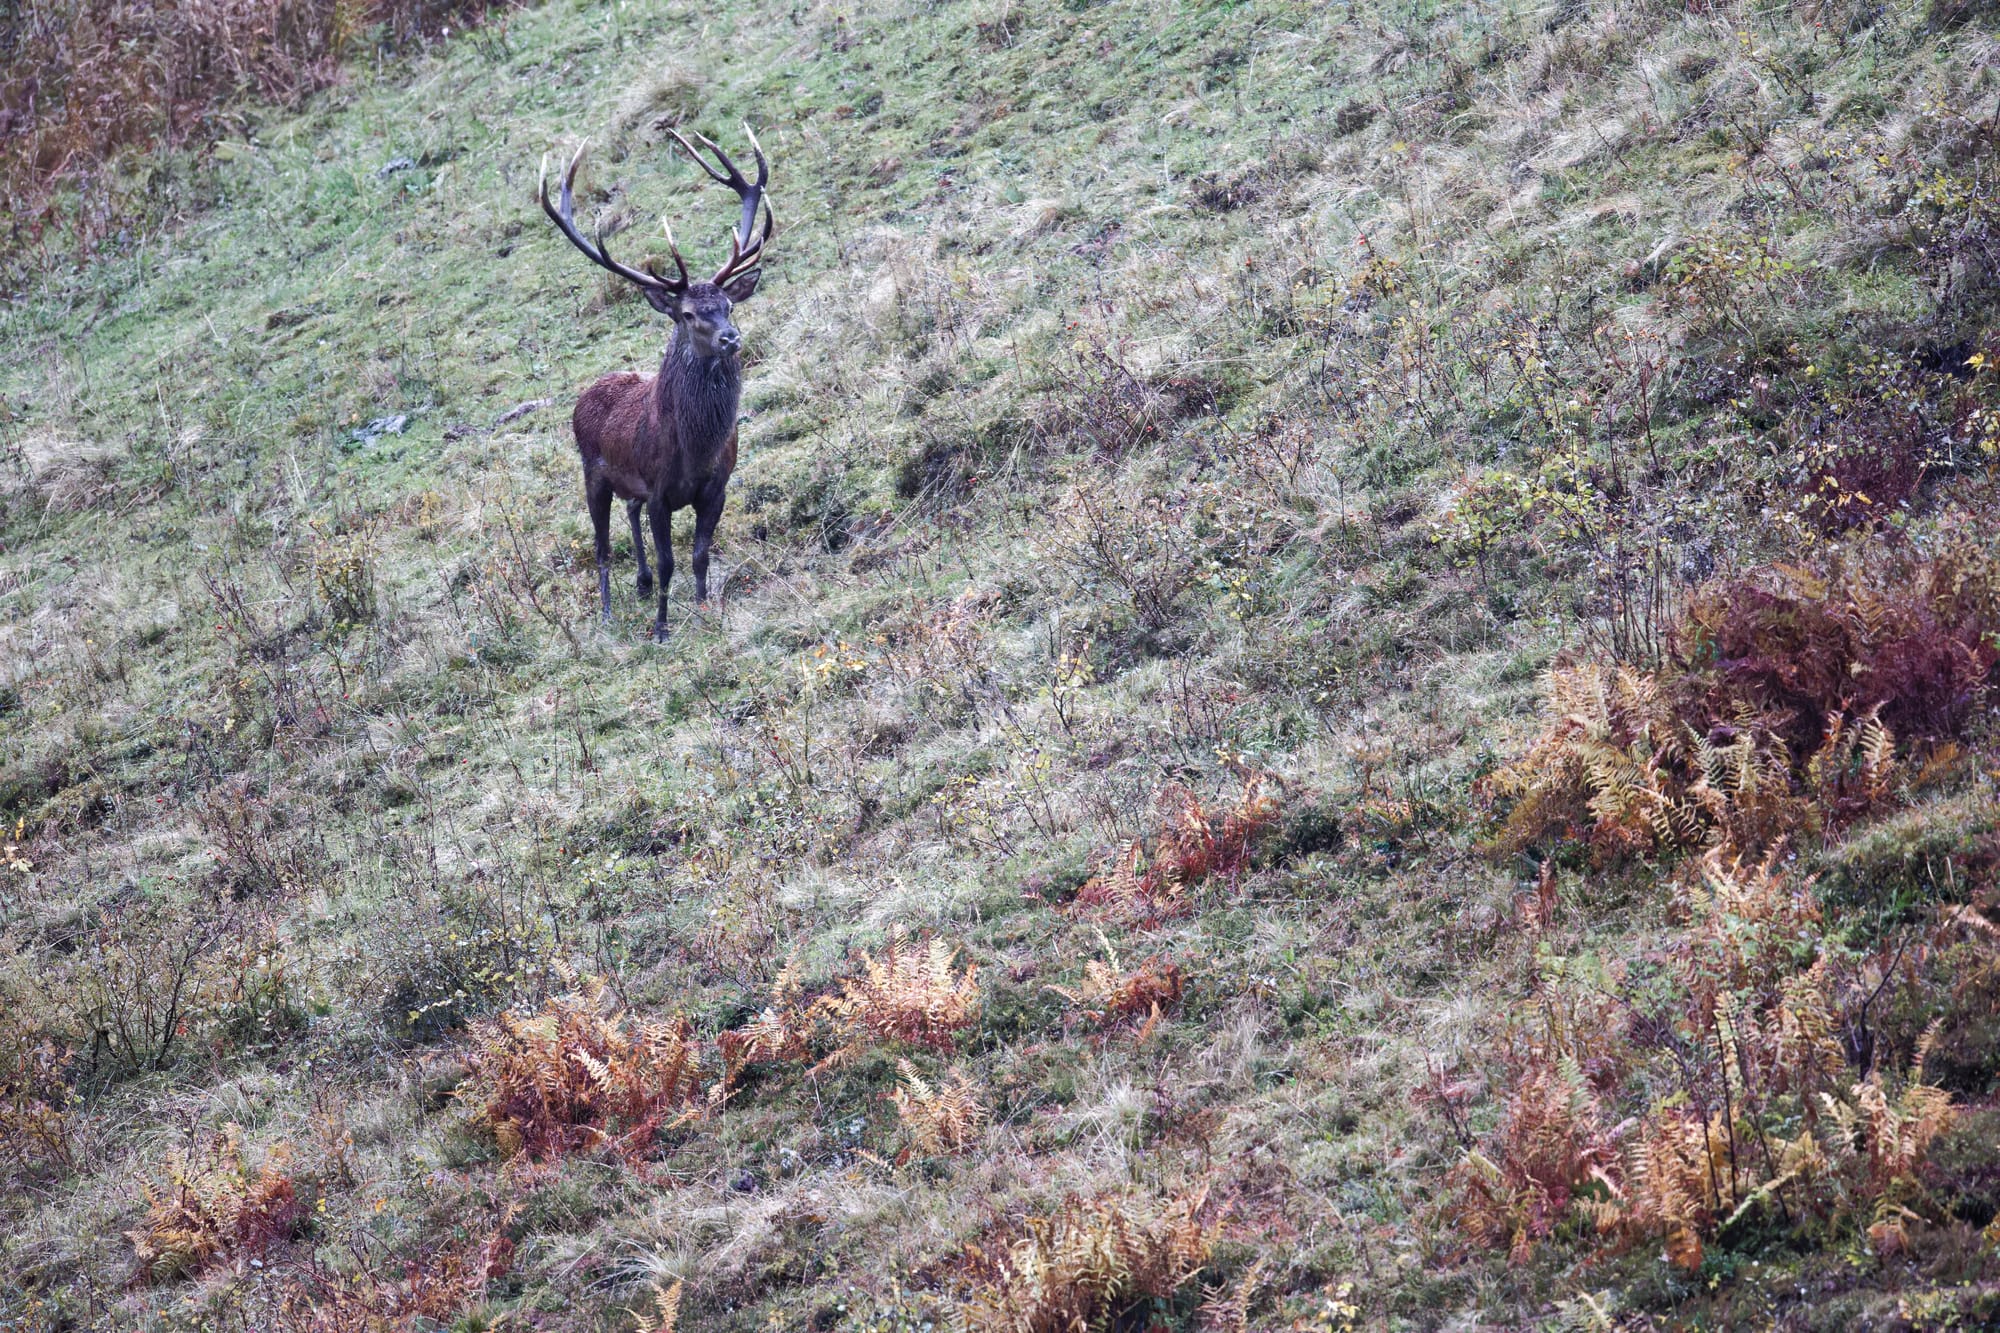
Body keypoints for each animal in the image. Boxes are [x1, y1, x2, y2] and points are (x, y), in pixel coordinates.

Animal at [540, 127, 774, 641]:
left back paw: (642, 584)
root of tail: (591, 389)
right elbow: (670, 562)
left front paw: (706, 610)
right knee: (603, 547)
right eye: (687, 314)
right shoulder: (661, 491)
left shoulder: (717, 486)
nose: (731, 338)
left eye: (728, 305)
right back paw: (609, 611)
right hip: (592, 474)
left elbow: (700, 555)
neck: (697, 447)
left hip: (630, 486)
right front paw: (662, 629)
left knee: (630, 513)